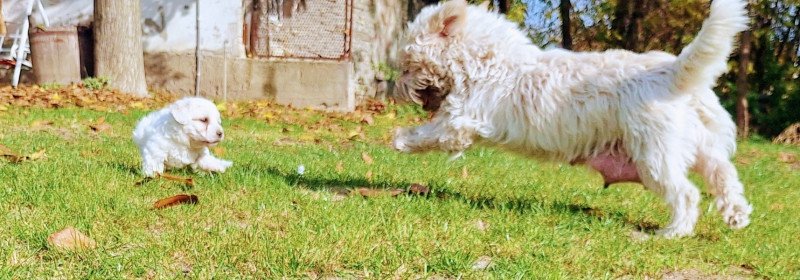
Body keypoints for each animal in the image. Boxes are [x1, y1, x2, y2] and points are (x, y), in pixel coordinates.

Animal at [396, 0, 756, 237]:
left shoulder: (460, 121)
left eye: (407, 63)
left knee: (687, 193)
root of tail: (670, 72)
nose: (397, 84)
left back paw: (673, 232)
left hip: (656, 156)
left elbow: (428, 134)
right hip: (696, 146)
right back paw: (736, 215)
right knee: (724, 175)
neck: (487, 58)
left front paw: (399, 139)